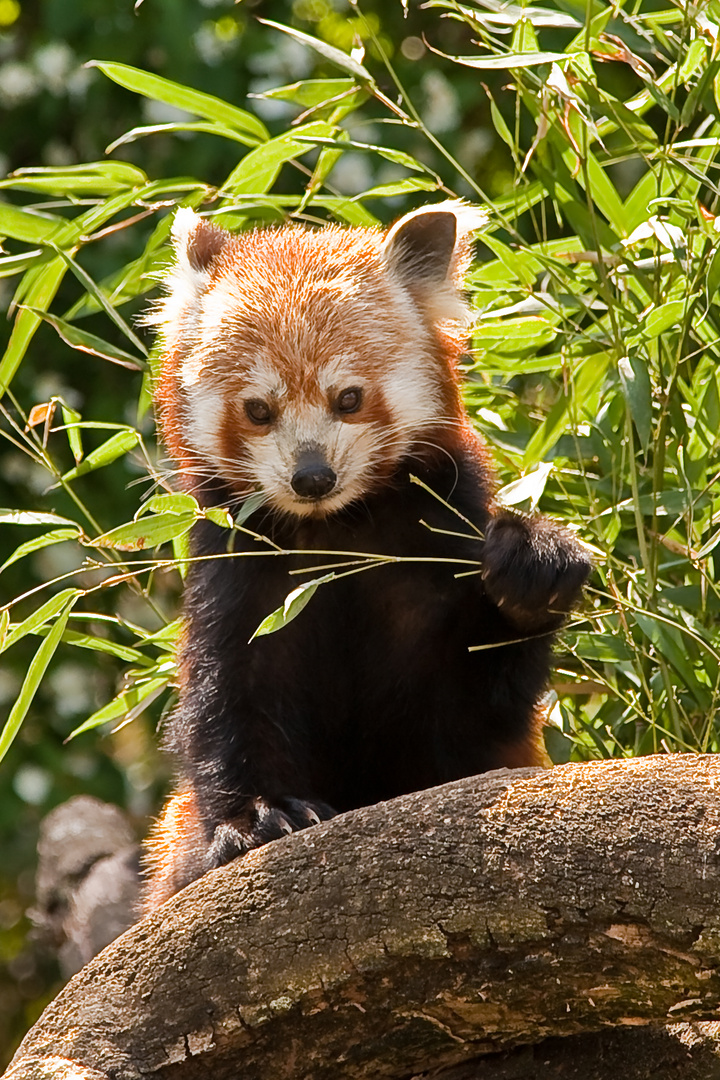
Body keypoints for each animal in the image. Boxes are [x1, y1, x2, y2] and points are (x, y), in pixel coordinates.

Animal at [142, 203, 591, 911]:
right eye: (259, 410)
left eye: (348, 398)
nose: (312, 477)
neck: (337, 529)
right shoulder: (241, 571)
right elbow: (230, 697)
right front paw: (261, 816)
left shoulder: (435, 546)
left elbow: (469, 712)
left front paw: (533, 570)